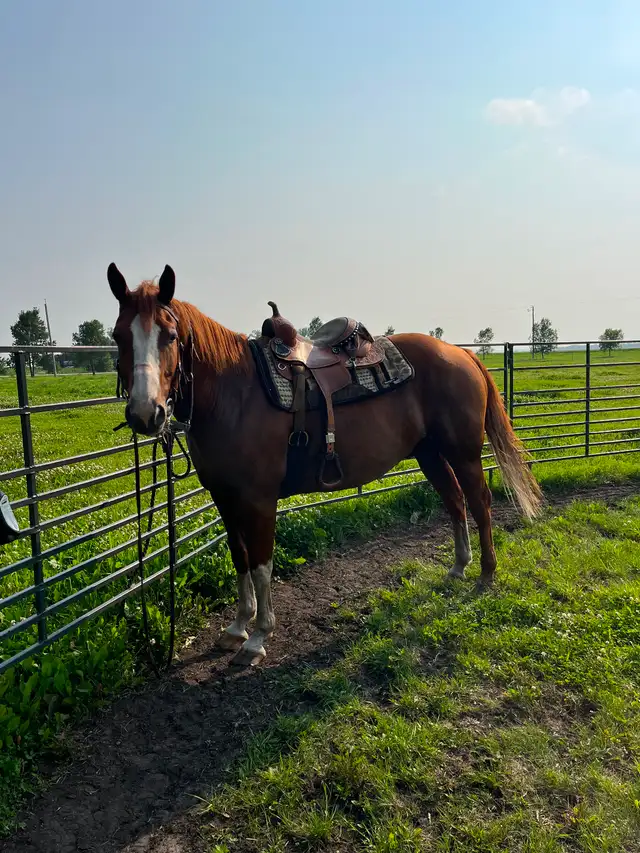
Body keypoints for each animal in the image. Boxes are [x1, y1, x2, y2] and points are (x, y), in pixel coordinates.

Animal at [107, 263, 541, 666]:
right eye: (118, 335)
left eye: (171, 335)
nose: (146, 414)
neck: (234, 394)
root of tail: (461, 352)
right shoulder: (225, 499)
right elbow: (240, 558)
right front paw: (237, 626)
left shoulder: (259, 500)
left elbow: (261, 564)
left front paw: (258, 637)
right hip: (429, 454)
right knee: (454, 501)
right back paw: (458, 567)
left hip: (463, 453)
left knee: (479, 502)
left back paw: (486, 573)